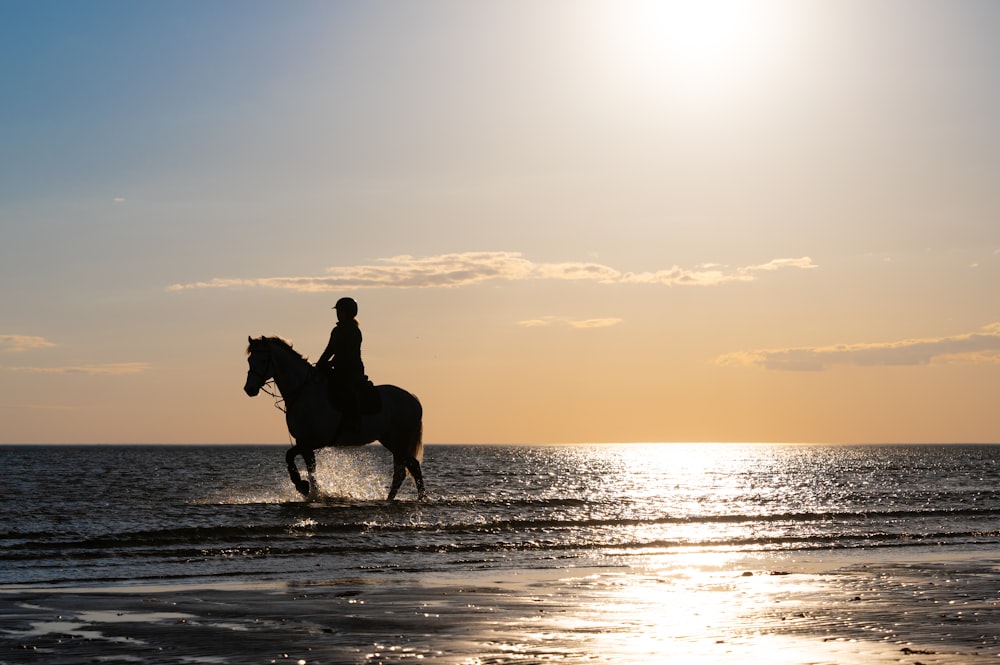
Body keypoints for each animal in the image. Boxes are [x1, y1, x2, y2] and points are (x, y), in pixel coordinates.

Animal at [248, 334, 428, 500]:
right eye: (250, 360)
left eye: (263, 360)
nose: (249, 389)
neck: (305, 392)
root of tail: (413, 400)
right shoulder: (303, 442)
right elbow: (307, 466)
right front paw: (309, 491)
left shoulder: (313, 441)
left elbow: (292, 457)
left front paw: (304, 487)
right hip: (390, 440)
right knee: (409, 467)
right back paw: (408, 498)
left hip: (399, 441)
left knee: (405, 470)